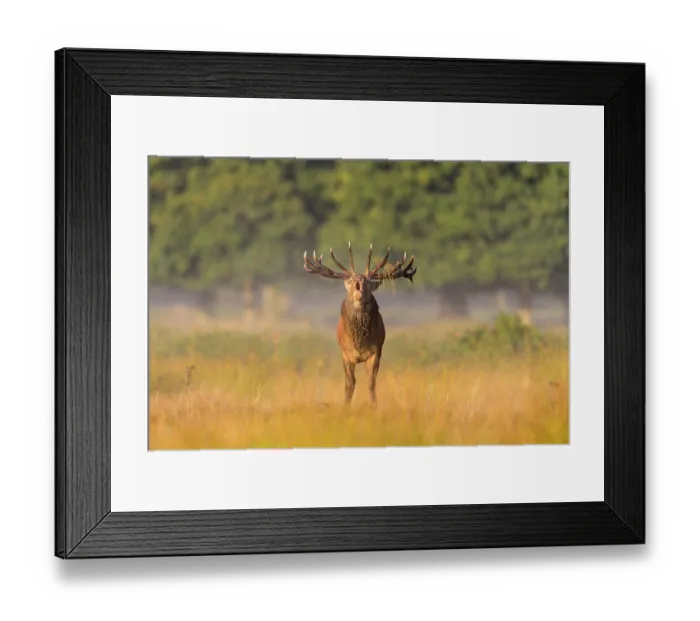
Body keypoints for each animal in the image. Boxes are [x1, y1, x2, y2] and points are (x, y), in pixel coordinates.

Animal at [303, 242, 417, 407]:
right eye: (351, 281)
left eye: (367, 281)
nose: (358, 282)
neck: (359, 342)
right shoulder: (345, 354)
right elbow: (349, 383)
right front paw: (346, 406)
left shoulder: (376, 351)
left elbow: (371, 382)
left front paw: (374, 405)